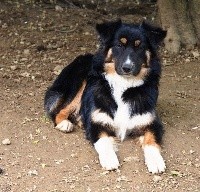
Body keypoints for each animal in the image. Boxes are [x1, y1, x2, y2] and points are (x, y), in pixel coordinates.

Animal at [44, 19, 167, 174]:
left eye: (139, 47)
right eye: (119, 45)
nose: (127, 68)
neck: (123, 85)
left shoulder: (152, 122)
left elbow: (152, 142)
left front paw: (156, 161)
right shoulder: (96, 123)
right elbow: (103, 141)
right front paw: (109, 159)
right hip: (81, 81)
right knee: (59, 109)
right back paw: (64, 124)